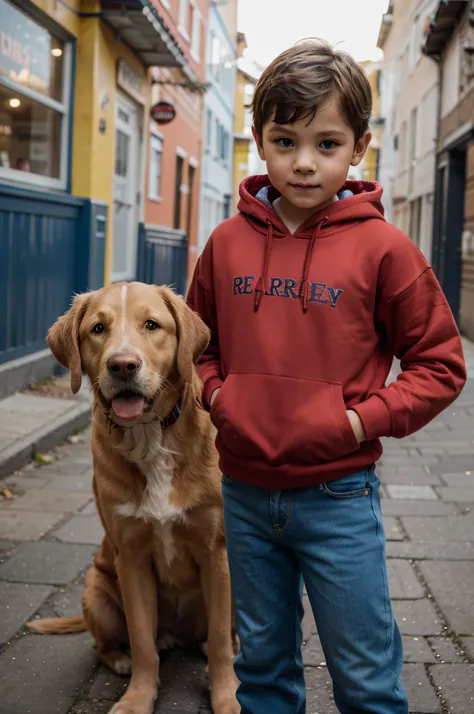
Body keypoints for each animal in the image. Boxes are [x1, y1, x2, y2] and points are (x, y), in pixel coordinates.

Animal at [27, 282, 239, 712]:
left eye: (152, 325)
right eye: (97, 328)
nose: (122, 365)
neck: (149, 436)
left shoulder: (216, 552)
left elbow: (220, 644)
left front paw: (226, 696)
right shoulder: (131, 557)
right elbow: (142, 640)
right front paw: (138, 698)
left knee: (215, 637)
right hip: (96, 587)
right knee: (108, 645)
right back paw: (121, 659)